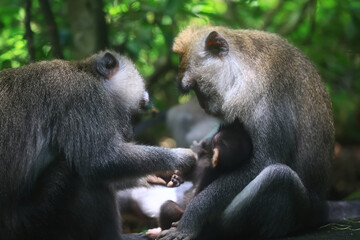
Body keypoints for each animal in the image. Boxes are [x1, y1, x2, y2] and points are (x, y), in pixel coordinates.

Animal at [0, 50, 195, 240]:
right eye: (135, 111)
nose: (129, 132)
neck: (87, 72)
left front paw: (155, 175)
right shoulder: (83, 97)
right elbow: (100, 160)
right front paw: (182, 158)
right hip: (33, 222)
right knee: (80, 175)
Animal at [159, 25, 336, 239]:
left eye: (195, 86)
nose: (202, 105)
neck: (242, 68)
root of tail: (319, 210)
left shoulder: (265, 95)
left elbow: (263, 161)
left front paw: (191, 218)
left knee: (278, 177)